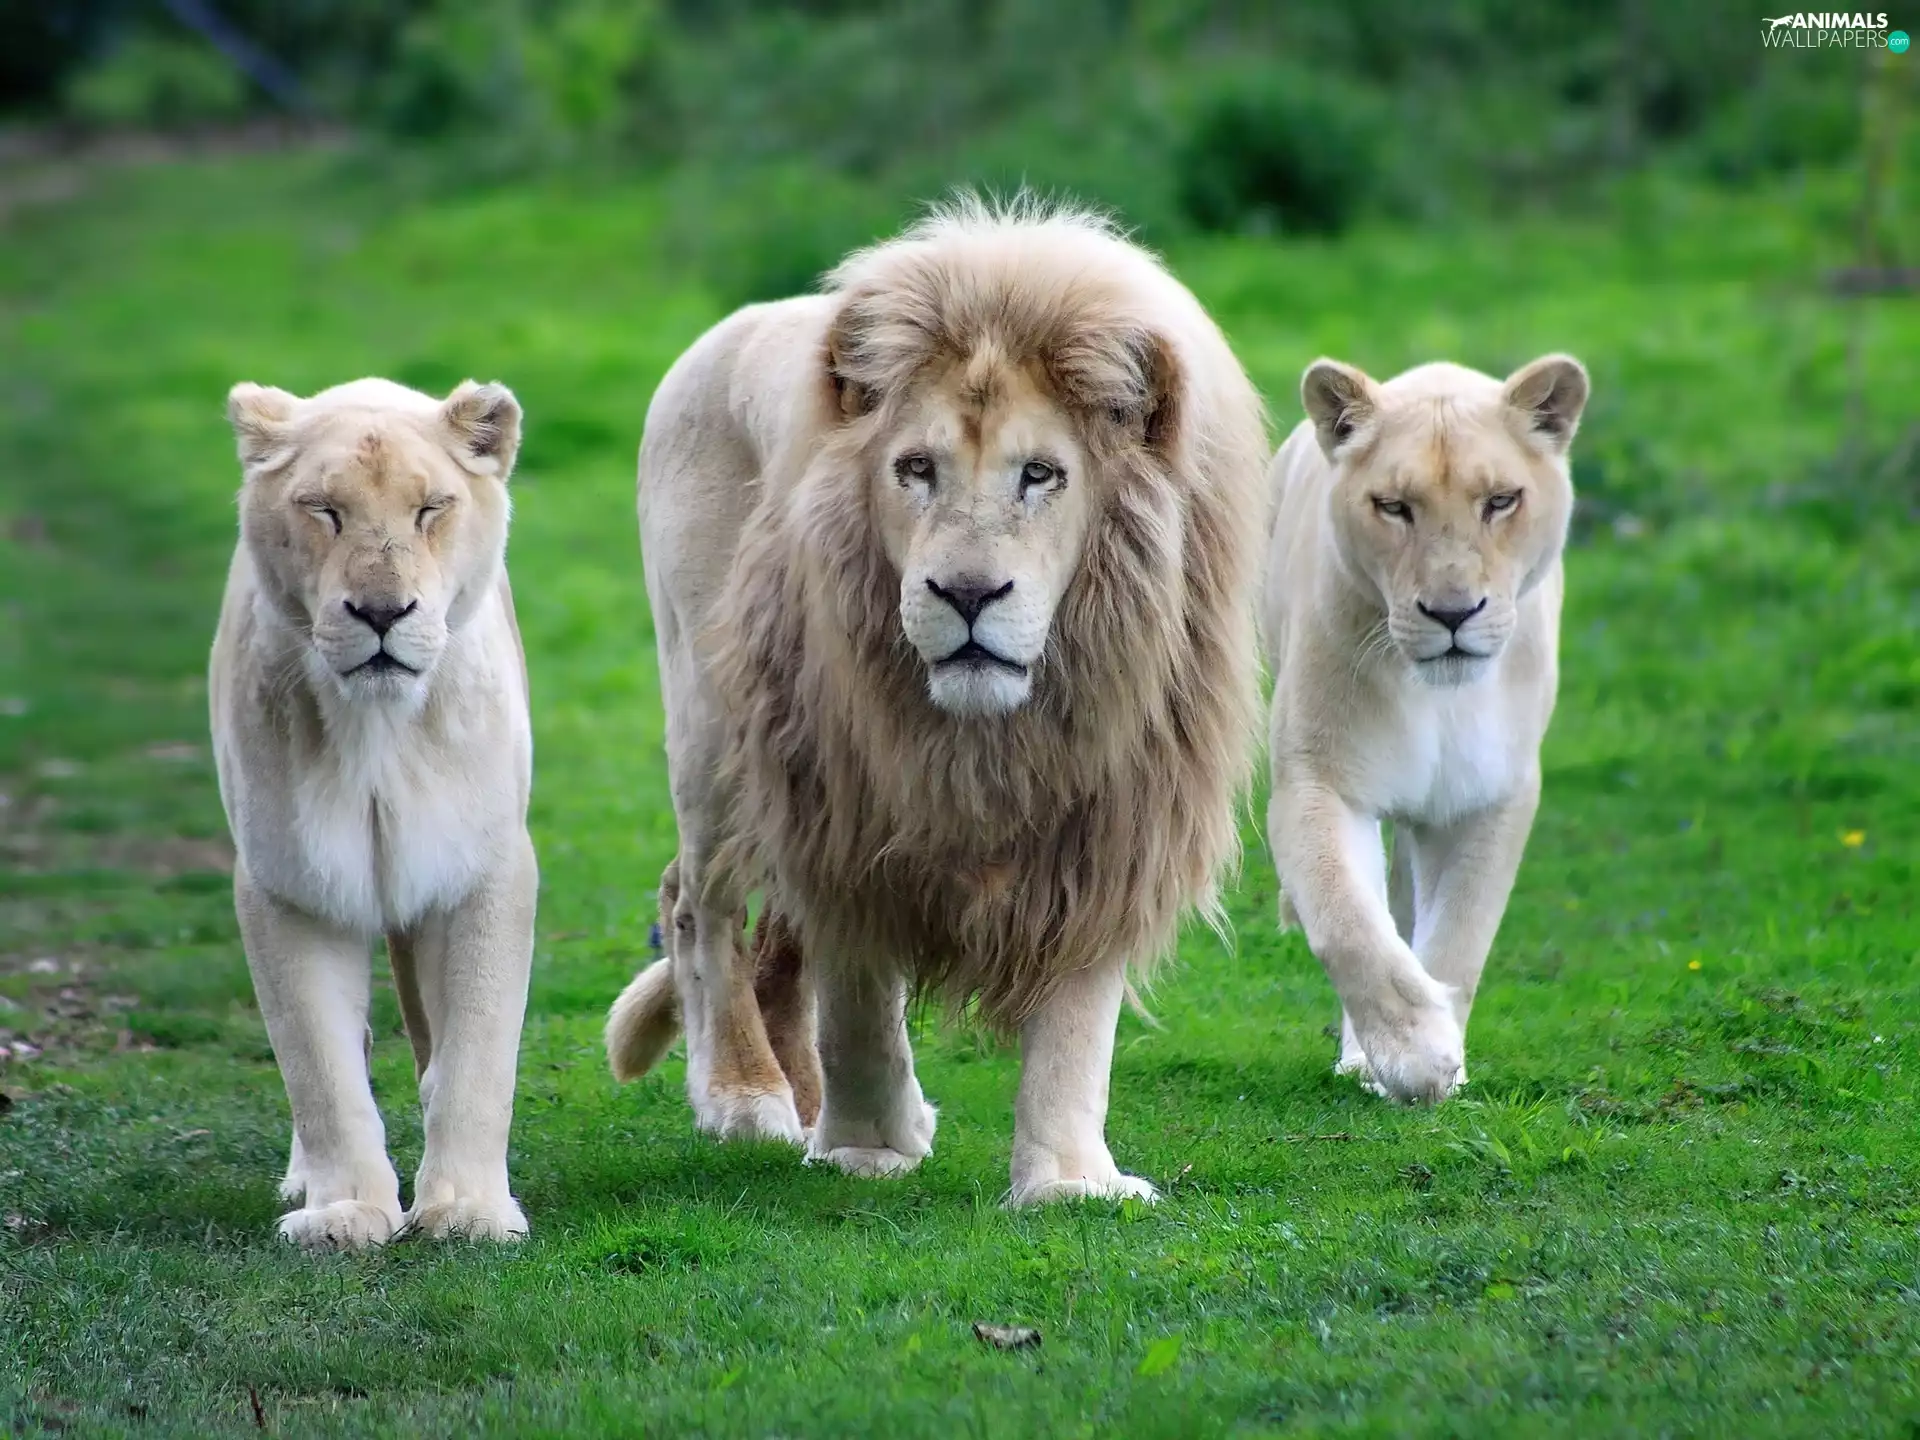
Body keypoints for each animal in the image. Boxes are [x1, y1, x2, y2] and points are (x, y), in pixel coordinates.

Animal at [210, 376, 538, 1250]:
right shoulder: (289, 883)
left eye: (431, 509)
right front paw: (345, 1213)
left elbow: (478, 1053)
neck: (378, 729)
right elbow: (319, 1066)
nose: (383, 612)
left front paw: (468, 1211)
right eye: (324, 510)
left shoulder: (483, 871)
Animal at [604, 198, 1270, 1204]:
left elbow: (1076, 1022)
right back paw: (747, 1097)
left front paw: (1068, 1182)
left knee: (773, 940)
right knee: (699, 904)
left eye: (1041, 474)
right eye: (915, 468)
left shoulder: (1112, 819)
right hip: (716, 724)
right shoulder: (843, 808)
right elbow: (859, 1002)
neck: (991, 736)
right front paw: (868, 1148)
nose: (965, 593)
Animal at [1262, 354, 1589, 1102]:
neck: (1438, 698)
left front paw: (1443, 1058)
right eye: (1393, 506)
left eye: (1500, 500)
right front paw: (1416, 1055)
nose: (1452, 613)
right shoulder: (1317, 782)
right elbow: (1348, 923)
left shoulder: (1490, 796)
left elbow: (1460, 937)